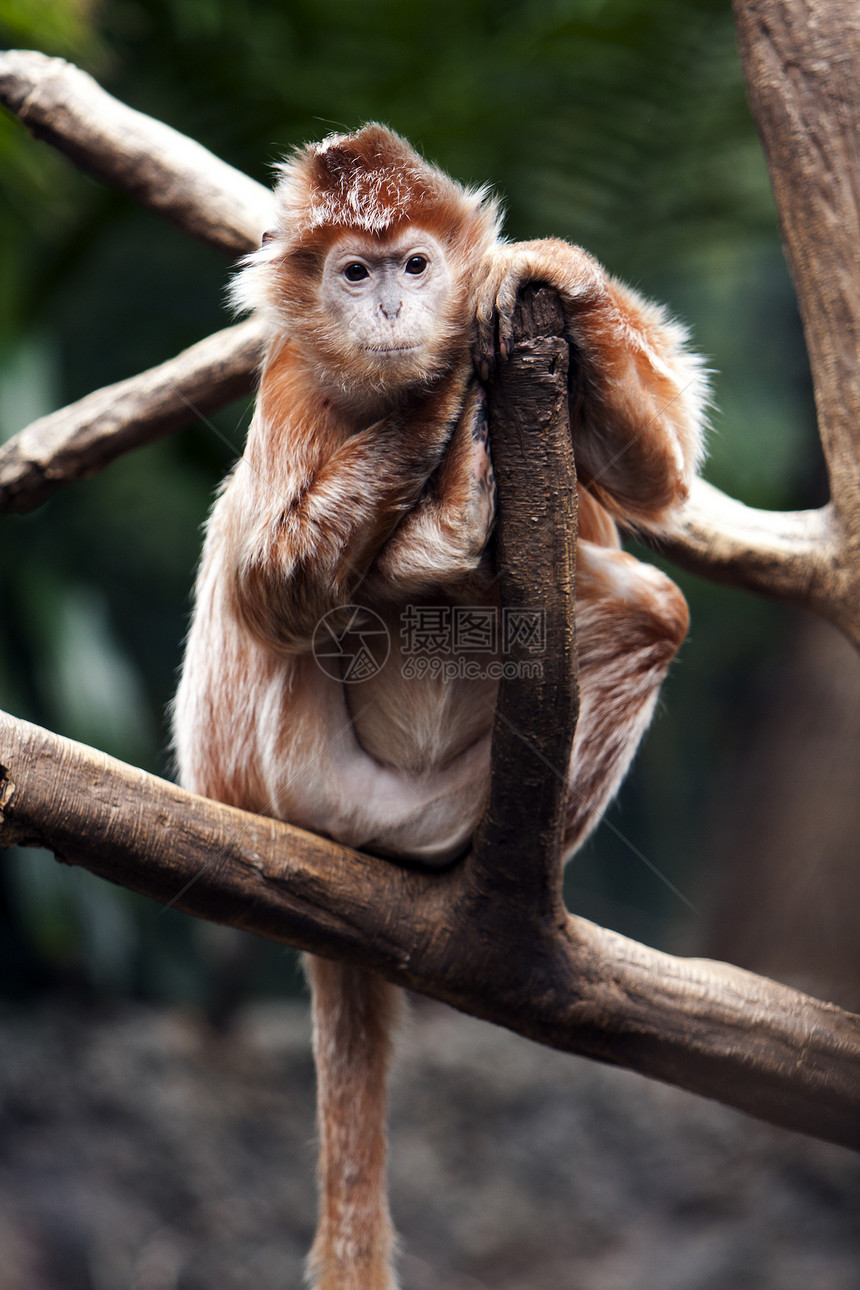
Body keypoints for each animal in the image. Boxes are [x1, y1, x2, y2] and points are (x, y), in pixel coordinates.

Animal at [171, 123, 711, 1290]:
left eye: (414, 265)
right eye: (355, 272)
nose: (389, 310)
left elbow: (657, 477)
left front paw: (549, 270)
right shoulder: (290, 382)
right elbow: (266, 589)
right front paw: (434, 405)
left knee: (649, 601)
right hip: (281, 773)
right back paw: (456, 511)